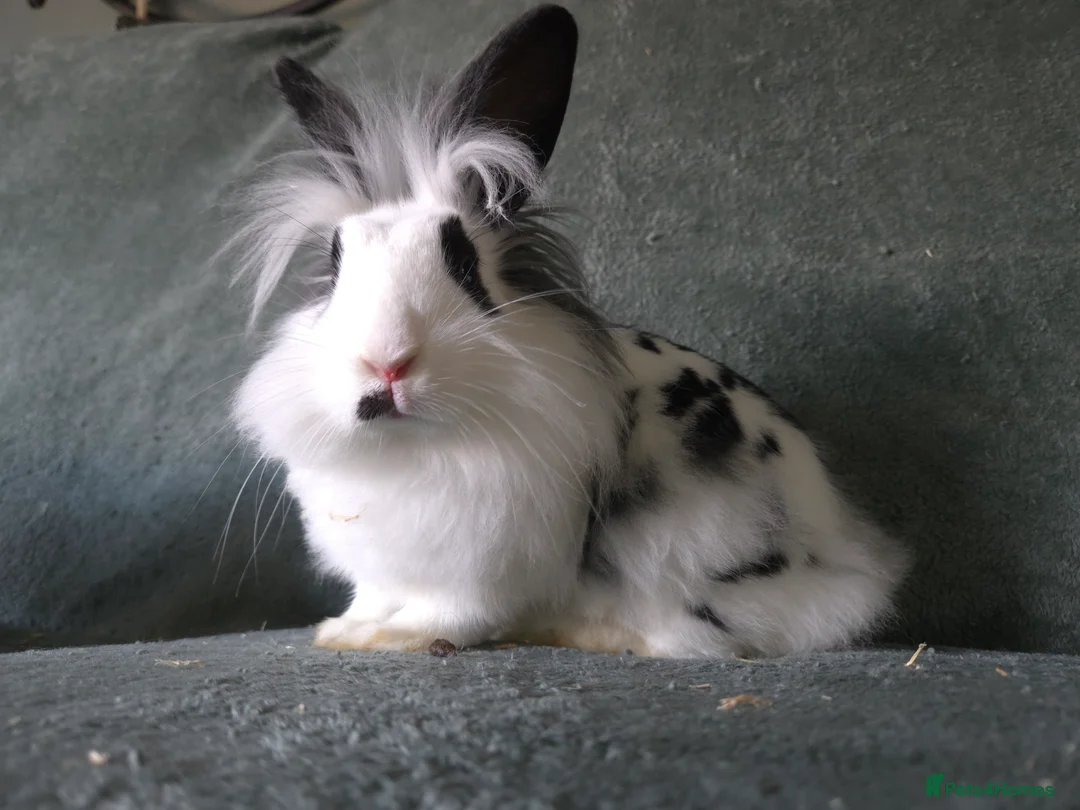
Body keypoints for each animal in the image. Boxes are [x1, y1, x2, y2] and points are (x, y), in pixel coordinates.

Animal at [226, 4, 908, 659]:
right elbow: (373, 595)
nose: (386, 363)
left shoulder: (484, 564)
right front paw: (347, 630)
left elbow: (453, 611)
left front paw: (404, 638)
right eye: (336, 262)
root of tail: (851, 564)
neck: (412, 449)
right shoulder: (381, 562)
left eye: (465, 265)